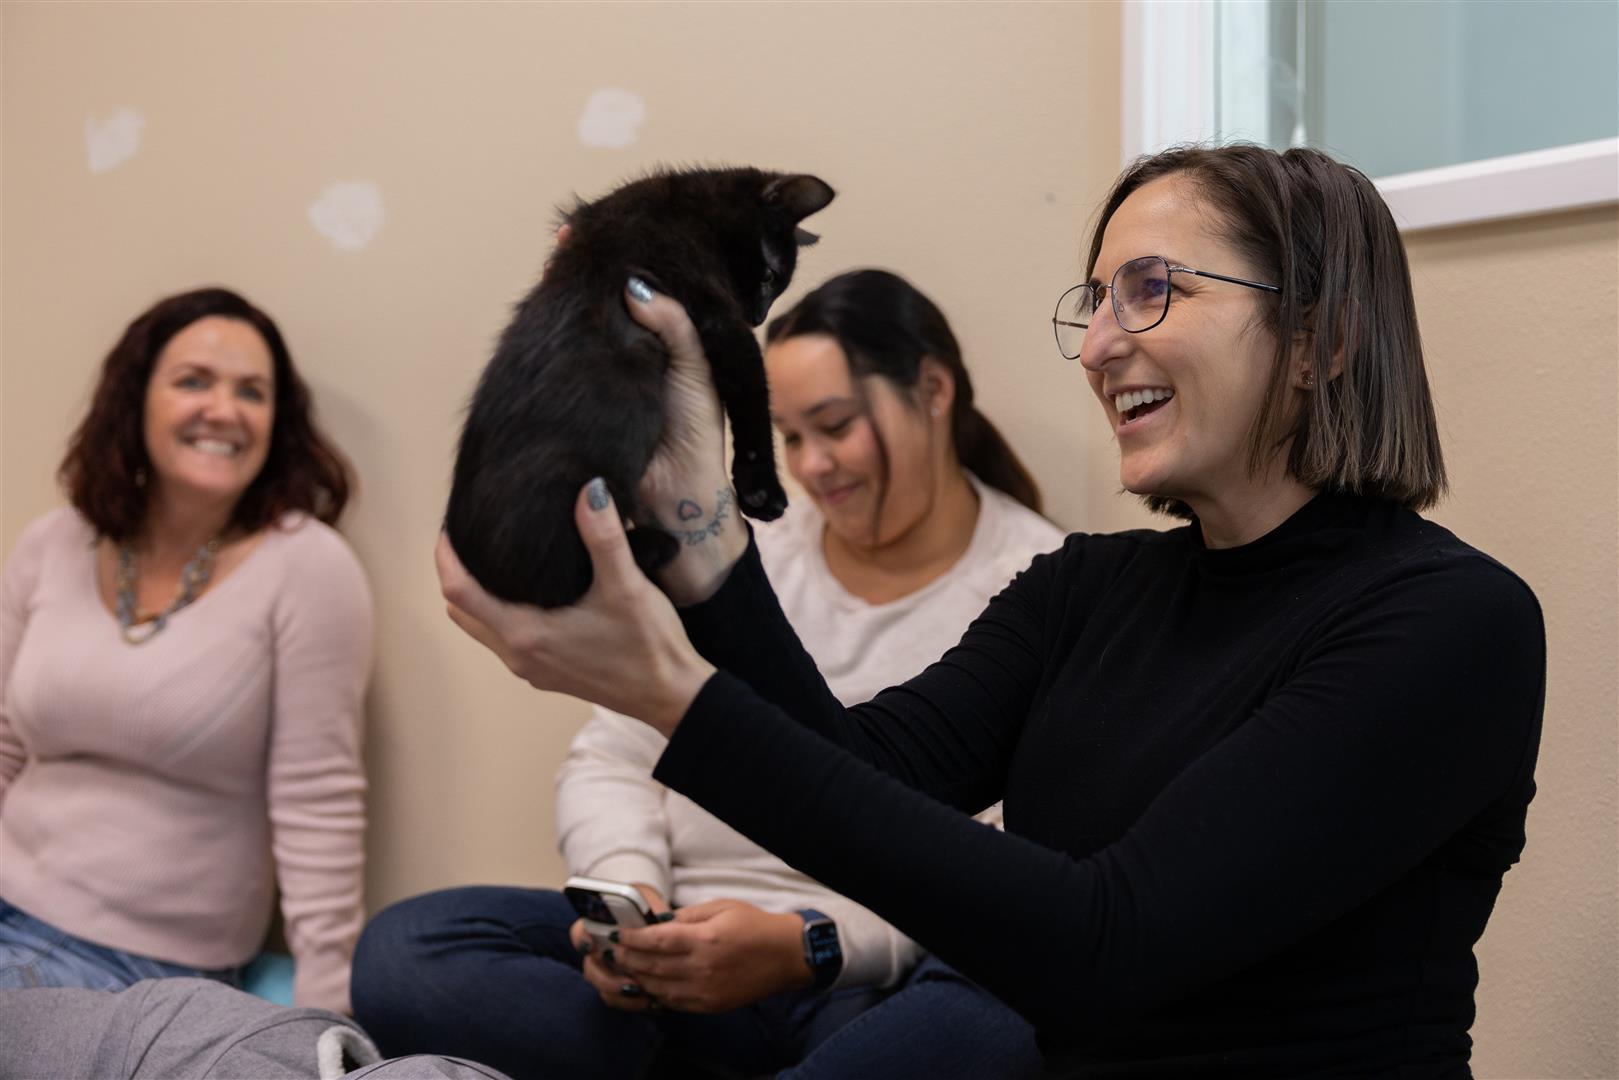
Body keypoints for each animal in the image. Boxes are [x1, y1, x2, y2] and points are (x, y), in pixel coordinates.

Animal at [453, 167, 841, 608]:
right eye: (769, 277)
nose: (758, 317)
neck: (686, 206)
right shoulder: (722, 322)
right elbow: (754, 403)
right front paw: (762, 491)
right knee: (562, 579)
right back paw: (656, 547)